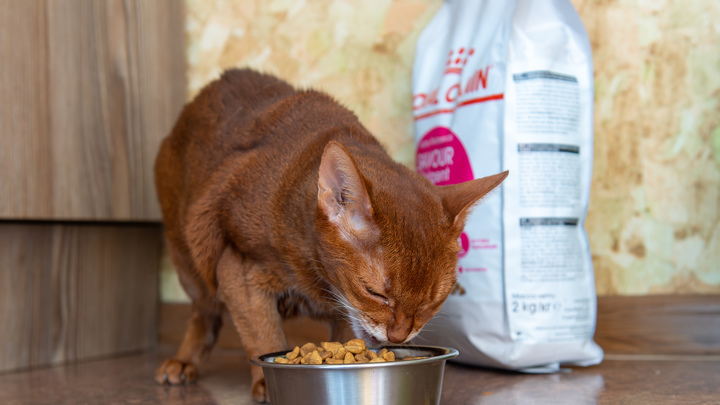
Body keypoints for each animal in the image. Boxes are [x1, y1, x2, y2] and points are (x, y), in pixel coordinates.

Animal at [155, 69, 510, 400]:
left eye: (431, 302)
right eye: (375, 292)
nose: (398, 337)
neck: (320, 282)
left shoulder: (347, 310)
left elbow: (345, 334)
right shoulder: (238, 268)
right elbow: (262, 335)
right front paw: (266, 385)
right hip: (187, 255)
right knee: (204, 310)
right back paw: (183, 361)